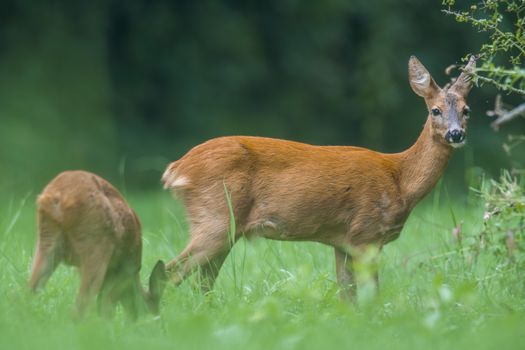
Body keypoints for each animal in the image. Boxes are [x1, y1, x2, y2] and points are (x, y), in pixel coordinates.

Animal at [28, 171, 166, 318]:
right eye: (152, 310)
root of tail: (60, 196)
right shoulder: (123, 271)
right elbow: (106, 306)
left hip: (47, 241)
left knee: (29, 291)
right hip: (95, 245)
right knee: (80, 307)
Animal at [160, 56, 474, 300]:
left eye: (466, 110)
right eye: (435, 110)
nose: (455, 134)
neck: (400, 179)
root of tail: (176, 169)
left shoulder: (343, 240)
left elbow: (347, 294)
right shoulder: (367, 233)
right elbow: (370, 293)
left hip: (225, 228)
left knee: (201, 282)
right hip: (216, 217)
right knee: (169, 271)